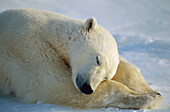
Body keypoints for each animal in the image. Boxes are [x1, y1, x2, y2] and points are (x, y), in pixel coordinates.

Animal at [0, 8, 161, 109]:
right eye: (97, 59)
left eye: (106, 77)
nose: (87, 88)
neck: (47, 29)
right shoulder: (25, 45)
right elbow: (51, 81)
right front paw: (146, 98)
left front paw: (150, 91)